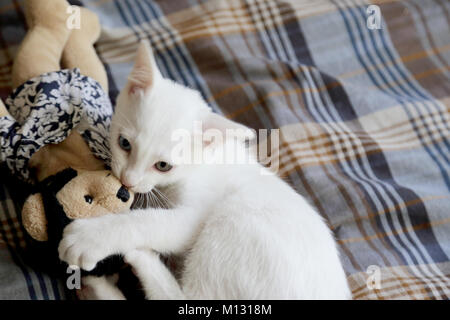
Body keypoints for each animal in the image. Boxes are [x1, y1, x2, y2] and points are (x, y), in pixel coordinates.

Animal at [58, 41, 352, 298]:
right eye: (124, 144)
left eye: (163, 166)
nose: (127, 181)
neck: (204, 161)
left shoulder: (193, 215)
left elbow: (146, 221)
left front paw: (89, 237)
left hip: (234, 219)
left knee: (185, 297)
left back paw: (134, 259)